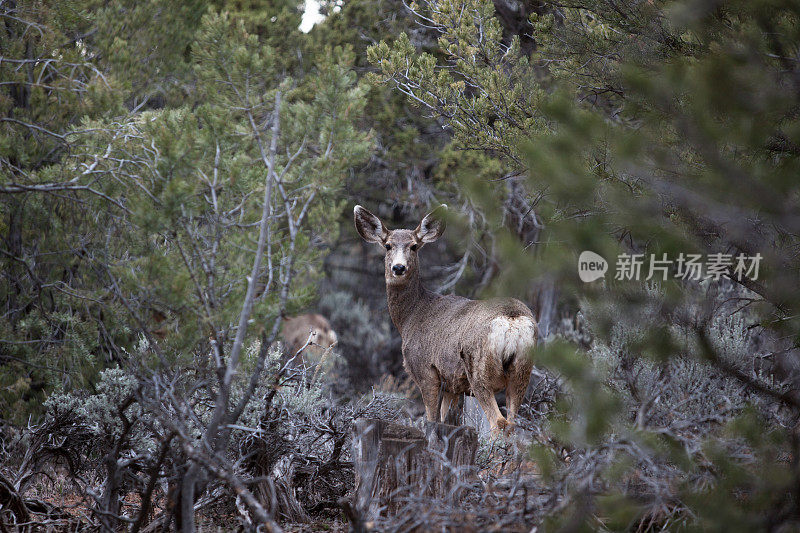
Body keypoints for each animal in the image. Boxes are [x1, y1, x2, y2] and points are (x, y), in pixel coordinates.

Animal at [354, 204, 536, 432]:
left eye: (414, 246)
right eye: (387, 245)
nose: (398, 267)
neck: (411, 316)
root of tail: (512, 319)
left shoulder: (425, 370)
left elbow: (432, 419)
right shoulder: (452, 384)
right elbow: (446, 421)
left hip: (479, 370)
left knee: (498, 422)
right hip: (522, 370)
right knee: (511, 422)